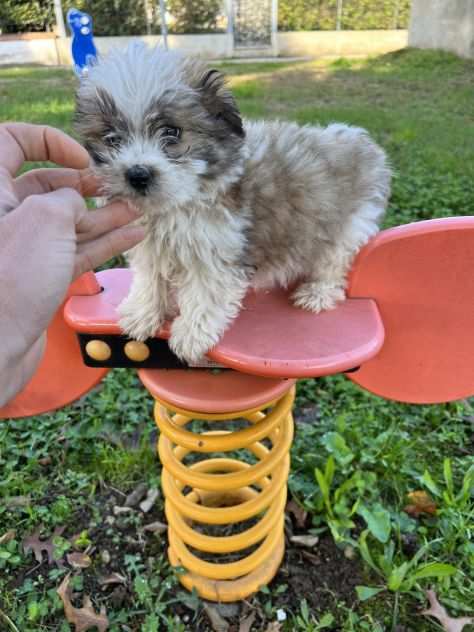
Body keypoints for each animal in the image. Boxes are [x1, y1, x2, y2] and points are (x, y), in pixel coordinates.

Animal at [75, 42, 392, 362]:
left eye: (172, 132)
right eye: (112, 139)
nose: (137, 174)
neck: (176, 204)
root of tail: (361, 142)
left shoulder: (216, 251)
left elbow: (205, 292)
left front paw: (191, 334)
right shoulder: (151, 247)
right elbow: (150, 279)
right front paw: (142, 312)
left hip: (349, 226)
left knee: (333, 262)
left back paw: (318, 293)